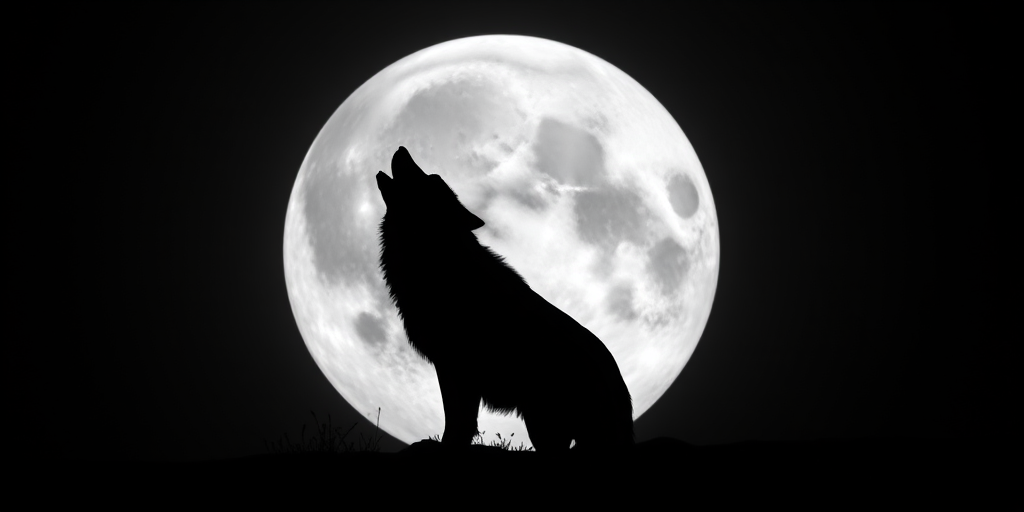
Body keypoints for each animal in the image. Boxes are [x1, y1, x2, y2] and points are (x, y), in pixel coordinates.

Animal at [376, 146, 633, 452]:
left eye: (431, 178)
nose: (402, 149)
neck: (438, 257)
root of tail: (622, 391)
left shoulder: (457, 368)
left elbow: (457, 420)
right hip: (543, 425)